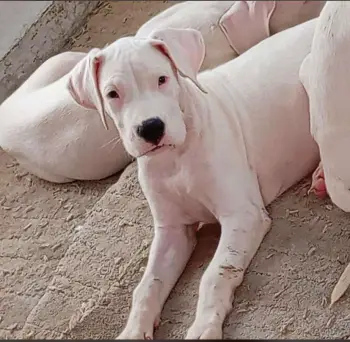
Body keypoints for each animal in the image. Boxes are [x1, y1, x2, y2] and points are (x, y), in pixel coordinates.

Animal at [66, 19, 320, 340]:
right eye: (113, 94)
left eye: (162, 79)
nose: (151, 128)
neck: (176, 158)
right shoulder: (173, 231)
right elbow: (147, 286)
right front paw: (134, 330)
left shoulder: (243, 215)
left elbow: (215, 274)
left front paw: (203, 326)